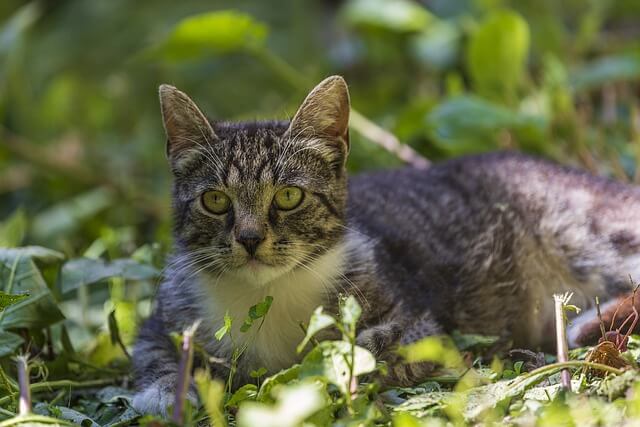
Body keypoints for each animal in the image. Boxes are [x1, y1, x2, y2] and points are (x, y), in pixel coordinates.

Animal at [131, 75, 640, 416]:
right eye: (215, 201)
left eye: (289, 196)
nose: (251, 239)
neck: (265, 295)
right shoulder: (160, 320)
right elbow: (155, 356)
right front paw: (166, 394)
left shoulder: (421, 327)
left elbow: (367, 351)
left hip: (582, 229)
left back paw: (591, 328)